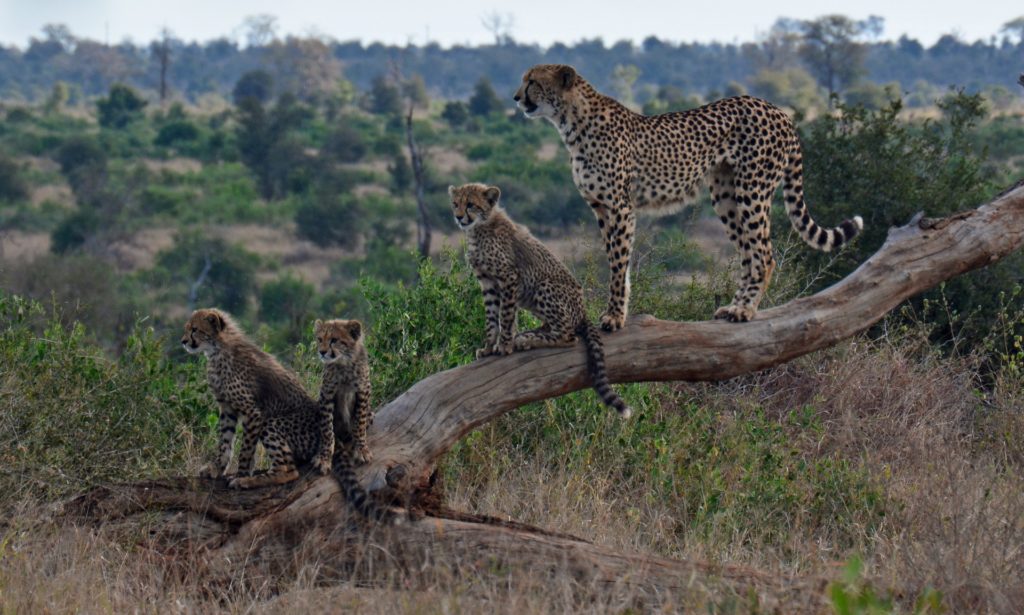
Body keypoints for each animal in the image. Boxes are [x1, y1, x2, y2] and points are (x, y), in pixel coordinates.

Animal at [450, 182, 626, 417]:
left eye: (470, 204)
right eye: (455, 203)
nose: (459, 217)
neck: (479, 227)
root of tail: (583, 312)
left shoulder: (509, 278)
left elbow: (506, 316)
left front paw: (504, 346)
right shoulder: (488, 283)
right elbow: (492, 319)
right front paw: (488, 347)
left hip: (543, 287)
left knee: (568, 336)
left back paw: (527, 340)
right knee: (553, 326)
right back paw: (528, 335)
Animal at [516, 63, 860, 325]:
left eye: (532, 81)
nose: (517, 98)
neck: (571, 122)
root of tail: (777, 109)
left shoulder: (620, 208)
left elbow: (617, 264)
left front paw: (614, 317)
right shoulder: (601, 208)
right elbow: (617, 262)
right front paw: (617, 310)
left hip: (753, 190)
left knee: (764, 255)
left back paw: (745, 310)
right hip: (726, 197)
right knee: (748, 255)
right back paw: (733, 306)